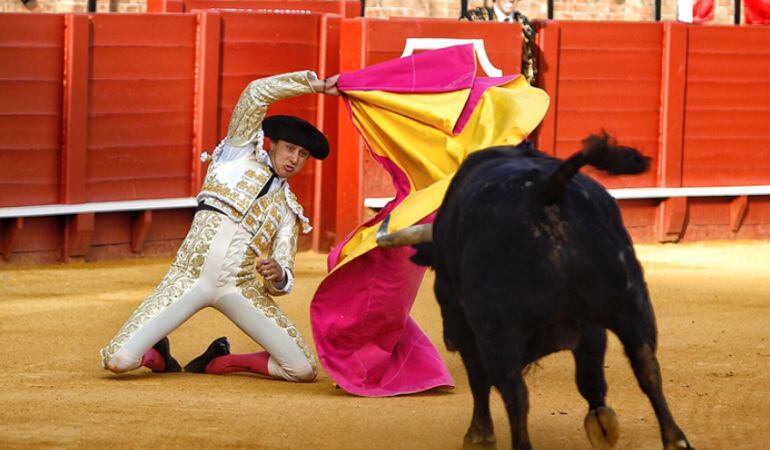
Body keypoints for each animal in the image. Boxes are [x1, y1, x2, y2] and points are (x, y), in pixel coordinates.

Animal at [376, 134, 692, 450]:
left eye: (435, 273)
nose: (448, 341)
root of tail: (545, 191)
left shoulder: (466, 325)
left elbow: (479, 379)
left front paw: (479, 435)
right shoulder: (591, 326)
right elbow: (591, 378)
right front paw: (602, 424)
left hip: (496, 328)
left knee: (514, 393)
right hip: (629, 302)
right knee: (646, 365)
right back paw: (675, 440)